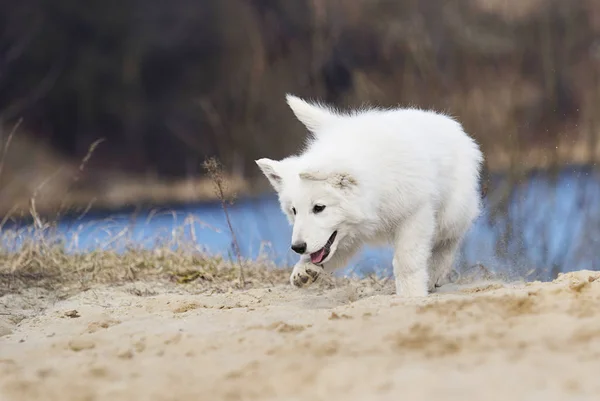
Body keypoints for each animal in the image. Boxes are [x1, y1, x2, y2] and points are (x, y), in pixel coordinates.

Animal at [255, 93, 486, 294]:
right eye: (294, 211)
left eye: (319, 208)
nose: (297, 247)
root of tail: (451, 124)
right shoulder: (348, 235)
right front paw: (304, 269)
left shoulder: (415, 214)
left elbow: (407, 261)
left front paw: (411, 295)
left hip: (451, 213)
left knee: (450, 239)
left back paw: (435, 272)